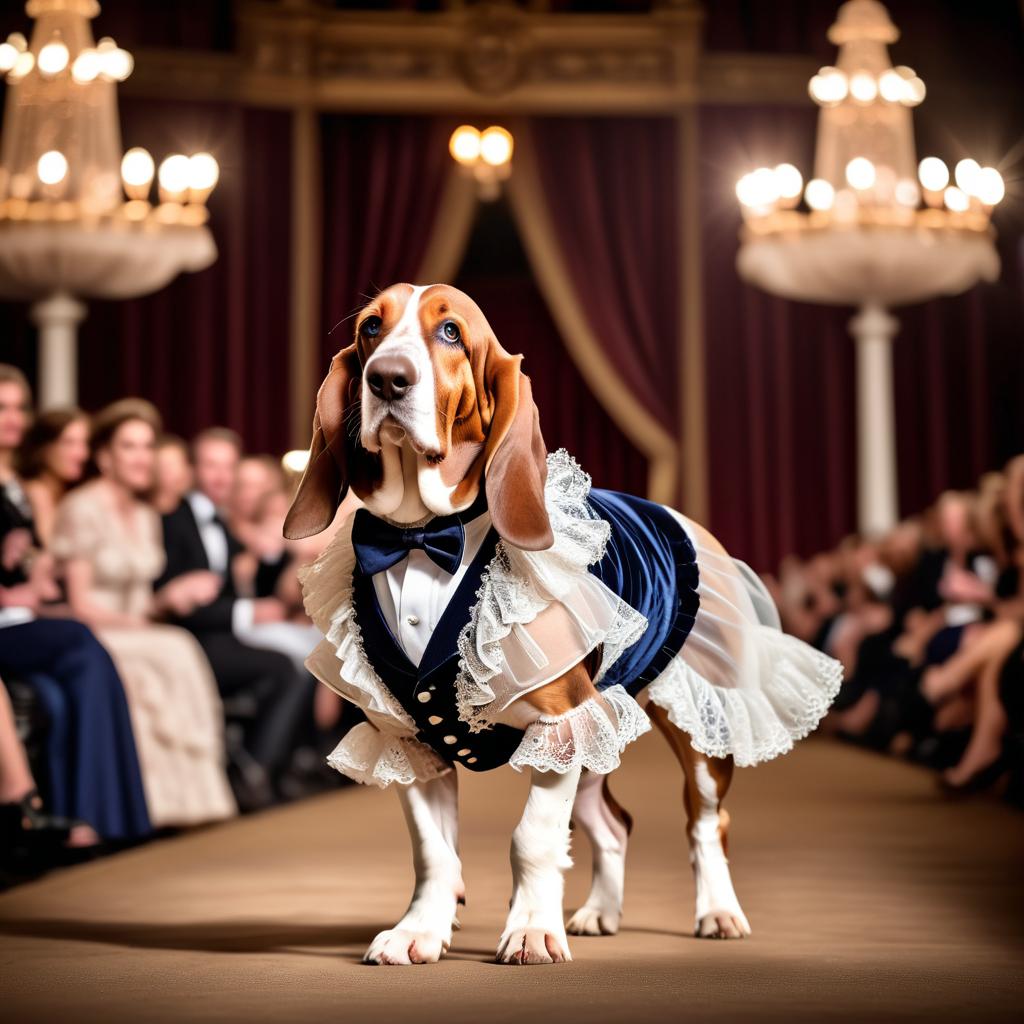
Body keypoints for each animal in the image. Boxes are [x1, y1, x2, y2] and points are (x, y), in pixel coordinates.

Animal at [286, 282, 839, 966]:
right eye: (369, 328)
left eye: (450, 331)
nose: (387, 377)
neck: (419, 538)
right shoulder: (407, 742)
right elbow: (434, 854)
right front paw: (420, 929)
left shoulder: (561, 723)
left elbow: (532, 838)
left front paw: (528, 929)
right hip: (601, 725)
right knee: (614, 824)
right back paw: (601, 910)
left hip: (696, 730)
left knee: (707, 823)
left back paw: (717, 910)